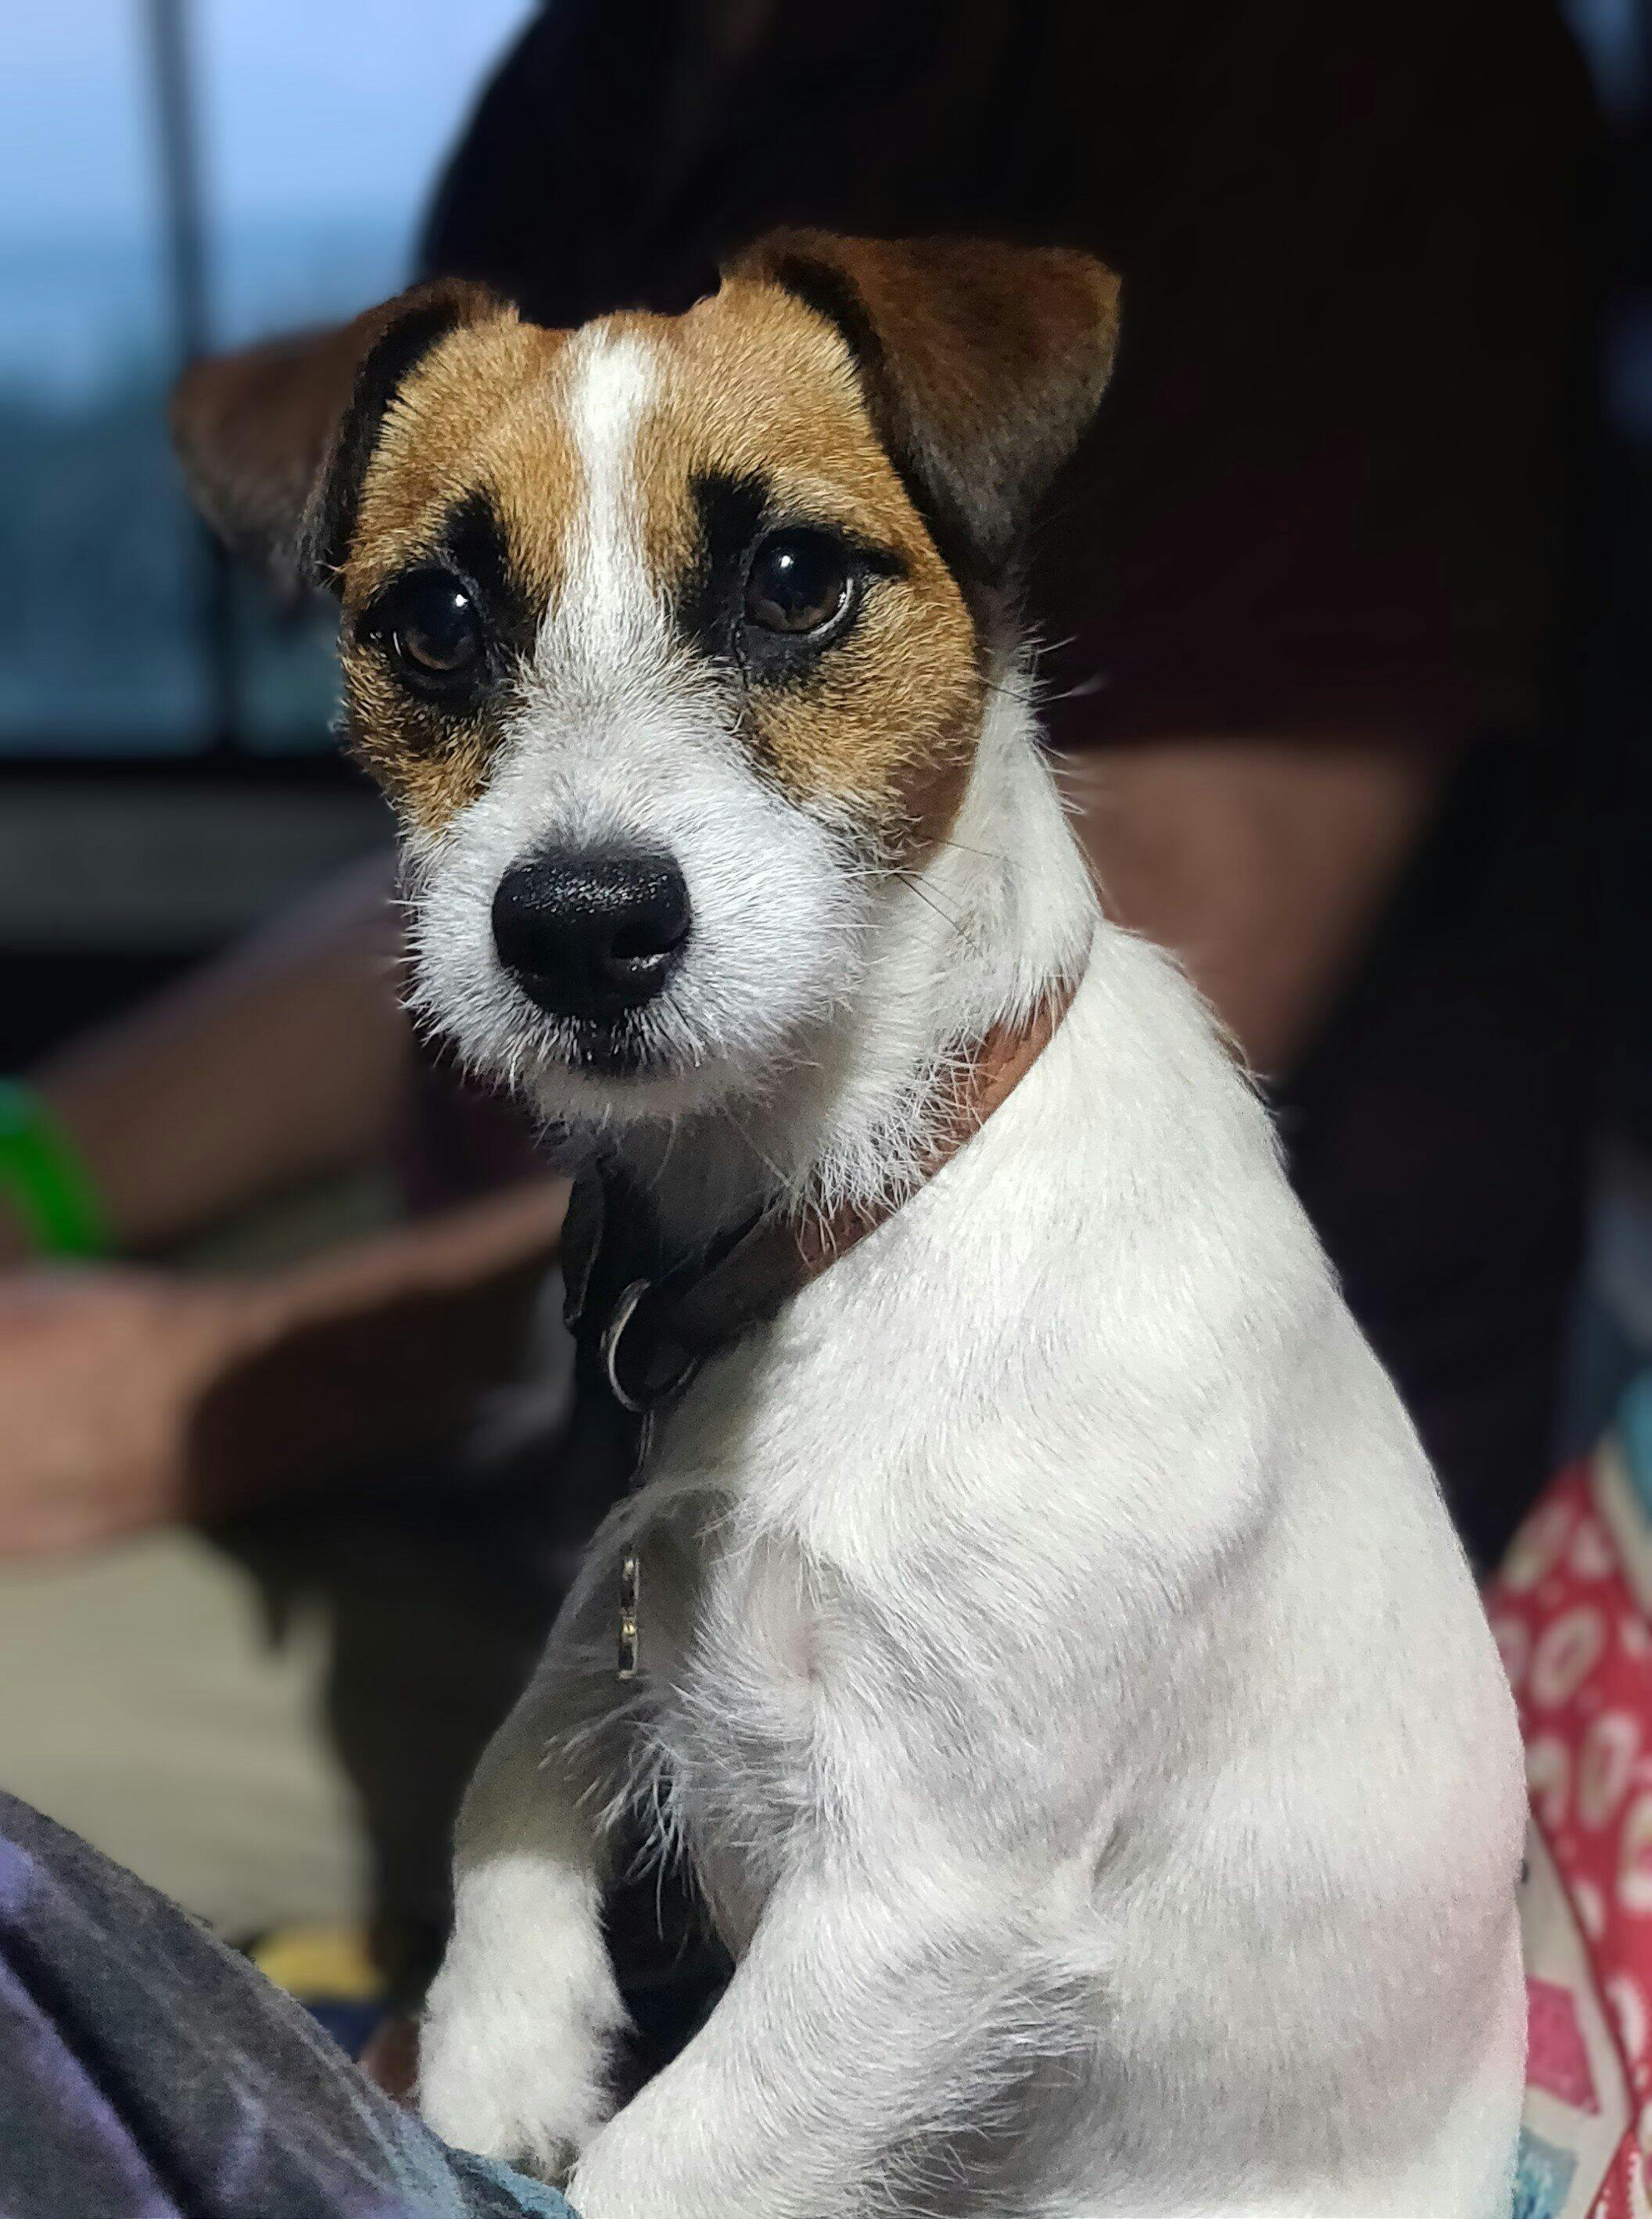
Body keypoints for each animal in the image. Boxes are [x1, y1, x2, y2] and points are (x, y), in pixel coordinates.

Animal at [174, 230, 1528, 2218]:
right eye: (434, 620)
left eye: (793, 580)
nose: (580, 928)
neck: (852, 1203)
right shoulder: (638, 1589)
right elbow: (519, 1746)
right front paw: (502, 2038)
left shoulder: (926, 1904)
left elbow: (661, 2162)